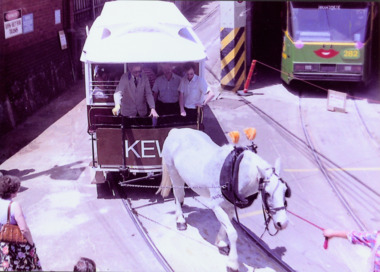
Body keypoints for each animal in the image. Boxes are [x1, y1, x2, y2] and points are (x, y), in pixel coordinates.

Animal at [157, 128, 290, 272]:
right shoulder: (216, 206)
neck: (235, 172)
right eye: (267, 193)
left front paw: (221, 243)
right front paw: (232, 263)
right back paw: (180, 220)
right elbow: (232, 233)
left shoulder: (230, 206)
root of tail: (176, 131)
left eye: (285, 191)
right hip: (173, 171)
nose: (283, 223)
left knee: (180, 196)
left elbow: (225, 226)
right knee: (177, 193)